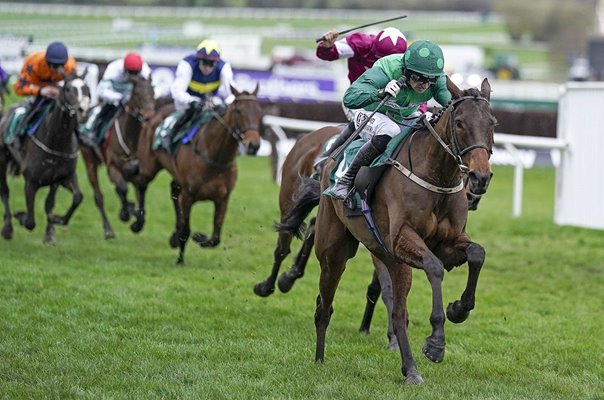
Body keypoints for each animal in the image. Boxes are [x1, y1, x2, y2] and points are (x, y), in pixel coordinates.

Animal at [0, 72, 91, 244]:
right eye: (68, 89)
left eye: (87, 89)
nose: (82, 110)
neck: (56, 141)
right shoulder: (31, 181)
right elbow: (30, 221)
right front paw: (20, 216)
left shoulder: (59, 178)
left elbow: (71, 198)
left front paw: (53, 226)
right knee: (5, 192)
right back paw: (8, 229)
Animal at [134, 86, 262, 264]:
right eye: (238, 111)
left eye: (259, 112)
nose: (253, 145)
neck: (214, 158)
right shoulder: (188, 196)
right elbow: (186, 231)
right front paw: (180, 260)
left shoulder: (223, 199)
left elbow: (215, 238)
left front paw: (199, 237)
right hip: (149, 166)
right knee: (141, 183)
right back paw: (137, 222)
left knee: (173, 190)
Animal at [278, 77, 496, 384]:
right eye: (460, 123)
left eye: (493, 123)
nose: (480, 177)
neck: (435, 178)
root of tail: (330, 160)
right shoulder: (402, 239)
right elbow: (434, 267)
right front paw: (435, 343)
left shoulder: (449, 244)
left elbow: (477, 253)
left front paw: (459, 309)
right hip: (336, 252)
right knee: (325, 305)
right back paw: (320, 359)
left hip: (386, 256)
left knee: (397, 313)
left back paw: (410, 369)